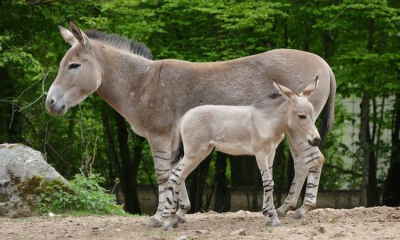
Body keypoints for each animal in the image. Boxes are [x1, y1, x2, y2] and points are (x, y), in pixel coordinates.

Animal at [161, 78, 320, 230]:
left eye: (312, 115)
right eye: (301, 116)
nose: (317, 140)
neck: (267, 122)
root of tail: (185, 116)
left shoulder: (271, 153)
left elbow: (271, 181)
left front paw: (268, 216)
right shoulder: (260, 153)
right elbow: (268, 183)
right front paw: (273, 219)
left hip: (201, 152)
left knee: (179, 176)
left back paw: (173, 219)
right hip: (194, 153)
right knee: (175, 175)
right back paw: (167, 221)